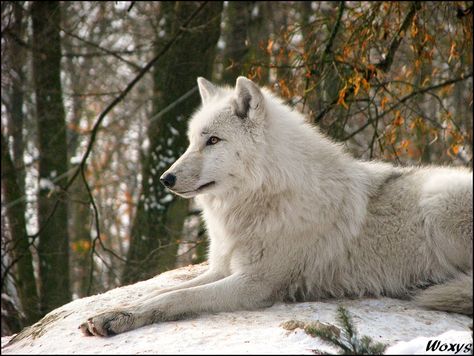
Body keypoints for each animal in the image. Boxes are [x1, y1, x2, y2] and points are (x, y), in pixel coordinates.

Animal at [79, 76, 472, 336]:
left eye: (213, 141)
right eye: (192, 141)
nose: (165, 178)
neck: (261, 200)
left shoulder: (254, 283)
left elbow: (178, 298)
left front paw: (117, 318)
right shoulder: (223, 267)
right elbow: (162, 291)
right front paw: (115, 312)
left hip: (438, 203)